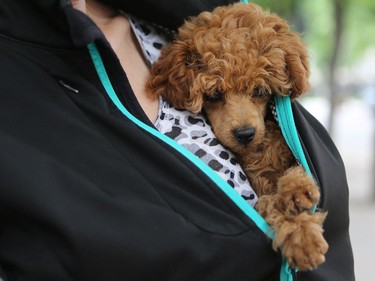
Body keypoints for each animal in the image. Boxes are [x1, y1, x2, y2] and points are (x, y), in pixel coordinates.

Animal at [147, 1, 328, 270]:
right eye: (213, 96)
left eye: (260, 91)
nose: (245, 134)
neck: (256, 150)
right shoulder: (259, 192)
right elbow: (269, 205)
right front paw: (301, 237)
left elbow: (295, 167)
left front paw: (297, 190)